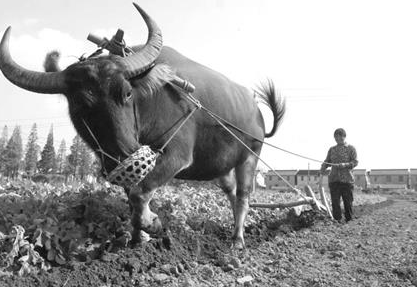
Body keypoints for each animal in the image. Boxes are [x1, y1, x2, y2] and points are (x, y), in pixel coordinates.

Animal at [0, 3, 284, 249]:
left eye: (127, 93)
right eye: (80, 105)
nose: (126, 152)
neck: (147, 107)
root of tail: (257, 112)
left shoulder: (177, 155)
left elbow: (139, 194)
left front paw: (154, 224)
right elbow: (132, 198)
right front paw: (138, 238)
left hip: (250, 156)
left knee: (244, 196)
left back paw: (237, 240)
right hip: (222, 167)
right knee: (231, 193)